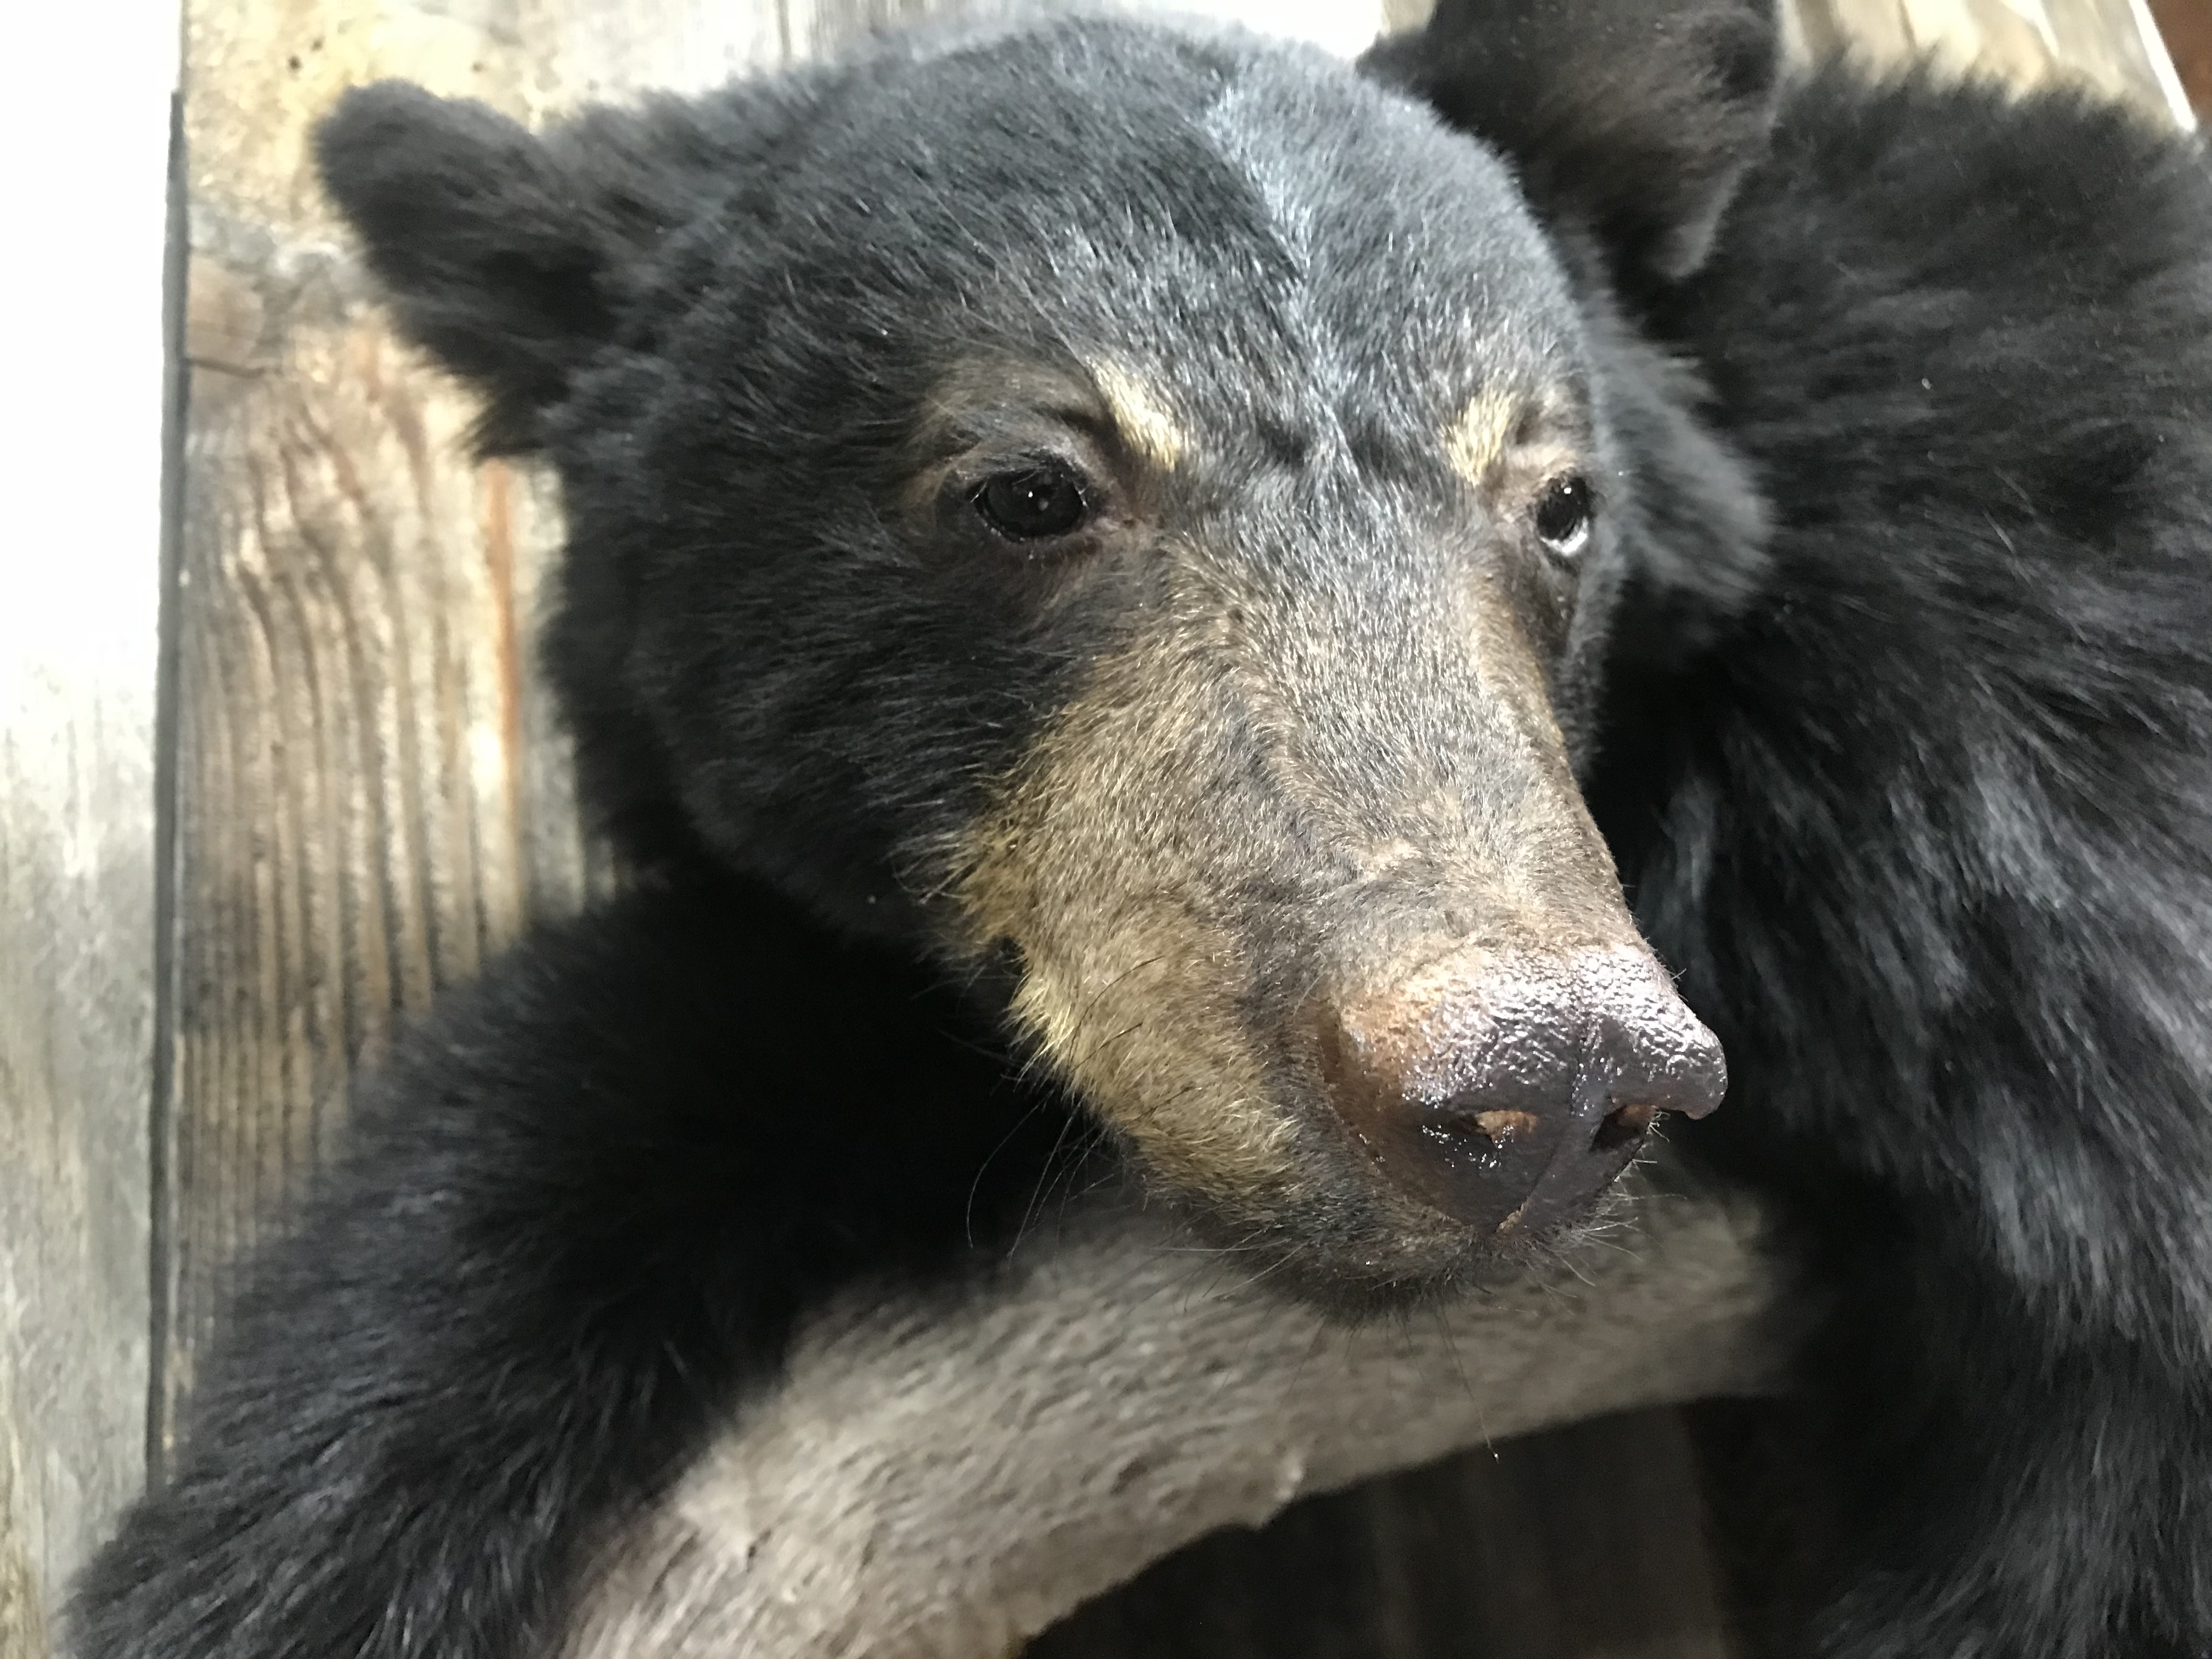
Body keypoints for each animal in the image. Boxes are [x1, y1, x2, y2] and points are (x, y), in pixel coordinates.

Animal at [69, 0, 2212, 1656]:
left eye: (1558, 503)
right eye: (1029, 492)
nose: (1545, 1076)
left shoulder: (2024, 785)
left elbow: (2115, 1426)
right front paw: (282, 1534)